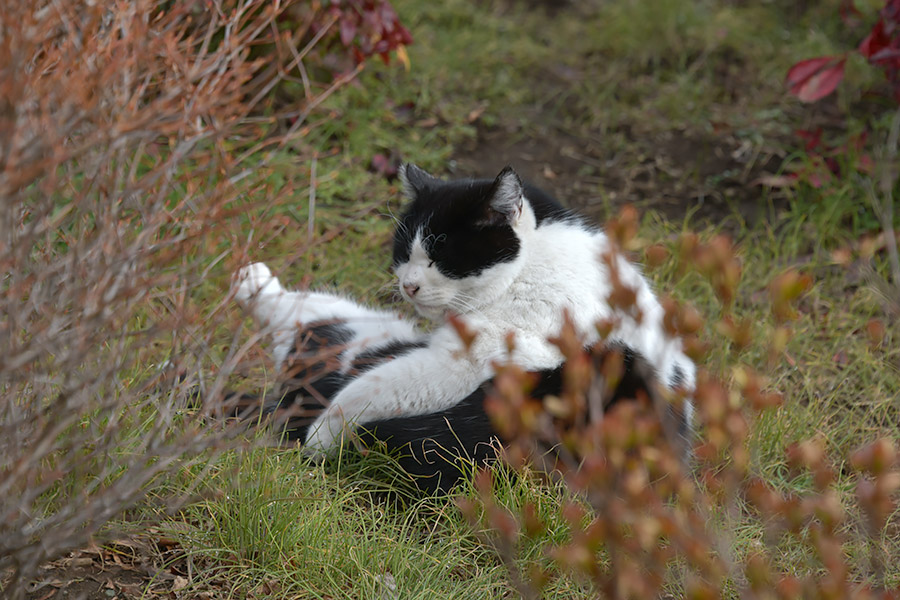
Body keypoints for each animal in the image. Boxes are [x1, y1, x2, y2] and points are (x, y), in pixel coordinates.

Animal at [232, 165, 696, 492]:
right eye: (404, 252)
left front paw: (319, 439)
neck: (530, 266)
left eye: (440, 255)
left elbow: (364, 394)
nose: (408, 285)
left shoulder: (463, 361)